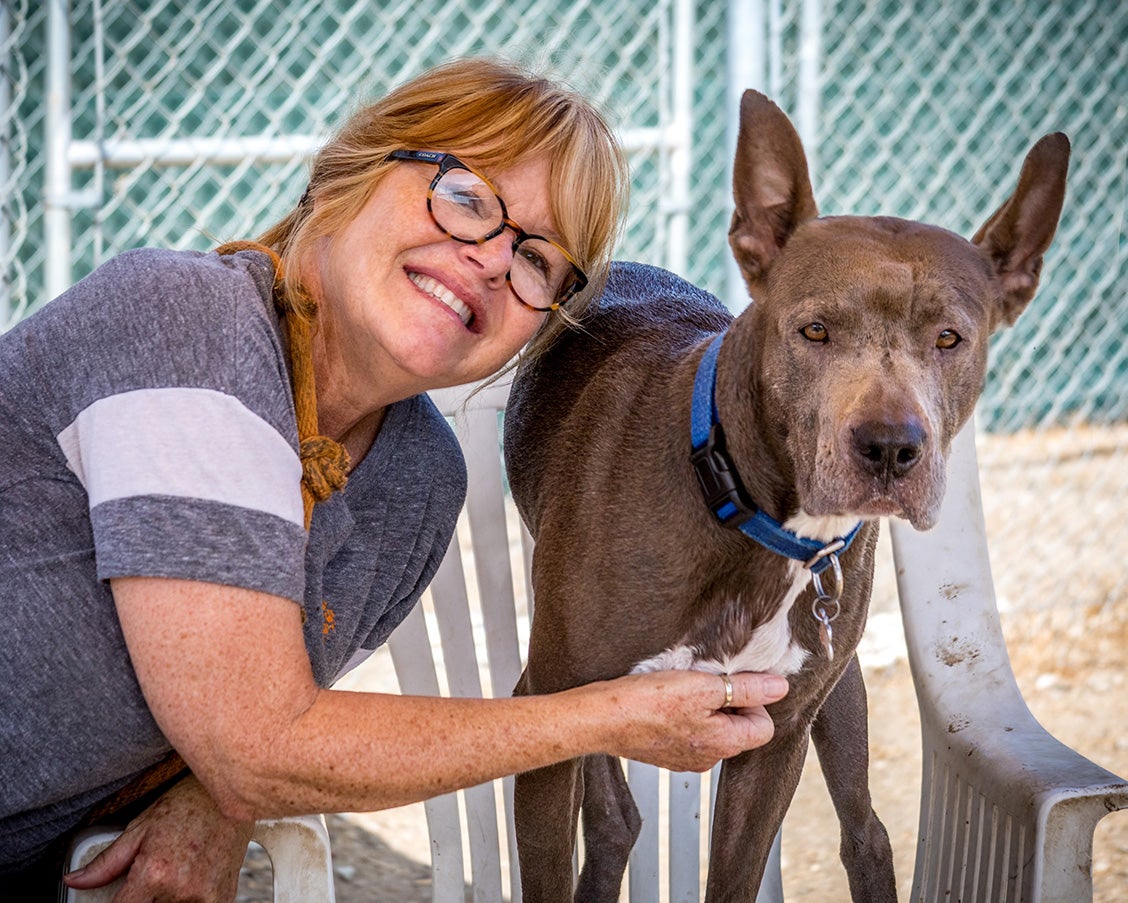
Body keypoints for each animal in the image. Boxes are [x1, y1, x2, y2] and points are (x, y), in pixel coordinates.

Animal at [507, 93, 1069, 901]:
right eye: (814, 329)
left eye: (950, 338)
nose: (891, 448)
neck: (747, 507)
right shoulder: (548, 712)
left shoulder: (776, 739)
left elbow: (737, 875)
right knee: (615, 816)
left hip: (839, 693)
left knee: (865, 832)